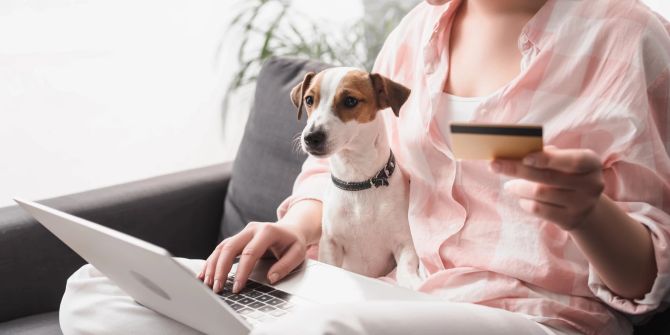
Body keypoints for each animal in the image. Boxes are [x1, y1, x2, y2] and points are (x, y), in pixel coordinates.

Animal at [290, 67, 426, 288]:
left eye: (350, 101)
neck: (358, 182)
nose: (311, 137)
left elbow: (405, 271)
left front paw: (413, 284)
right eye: (309, 99)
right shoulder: (331, 244)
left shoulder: (404, 243)